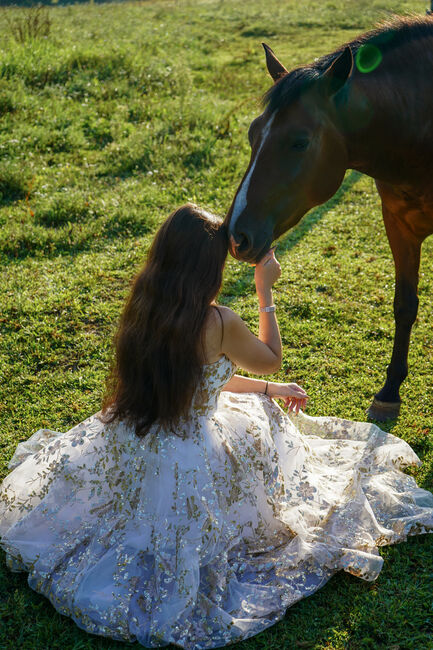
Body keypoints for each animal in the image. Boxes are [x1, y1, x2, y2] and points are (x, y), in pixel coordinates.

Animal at [224, 15, 432, 420]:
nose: (237, 236)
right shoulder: (399, 225)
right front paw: (389, 392)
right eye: (252, 133)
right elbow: (405, 305)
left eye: (300, 141)